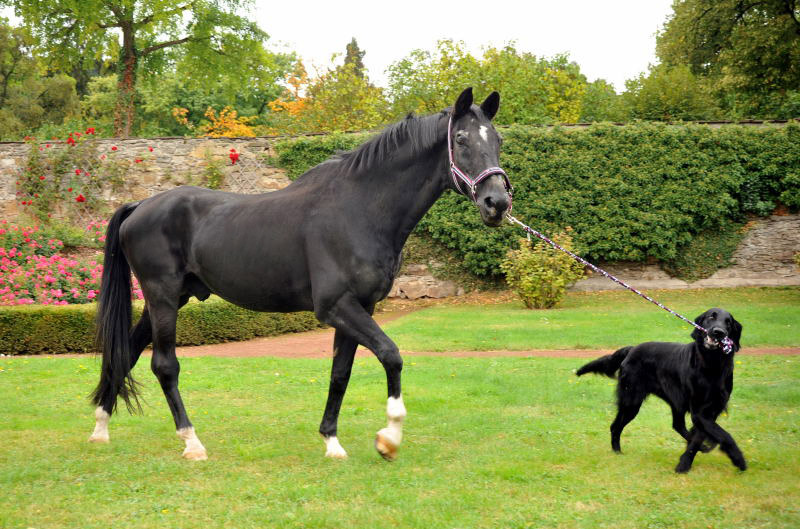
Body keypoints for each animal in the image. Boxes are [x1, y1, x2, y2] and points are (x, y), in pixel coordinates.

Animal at [89, 86, 512, 458]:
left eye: (498, 139)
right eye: (460, 139)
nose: (497, 202)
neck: (358, 209)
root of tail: (140, 206)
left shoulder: (361, 308)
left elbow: (340, 372)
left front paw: (332, 441)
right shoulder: (337, 306)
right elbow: (391, 355)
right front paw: (389, 438)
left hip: (171, 298)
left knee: (126, 353)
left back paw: (100, 429)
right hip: (162, 296)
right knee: (164, 365)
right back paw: (192, 443)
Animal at [580, 308, 748, 472]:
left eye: (728, 323)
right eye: (711, 317)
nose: (719, 332)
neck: (712, 365)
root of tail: (631, 349)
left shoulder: (713, 410)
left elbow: (700, 436)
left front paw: (686, 460)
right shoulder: (699, 412)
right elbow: (725, 436)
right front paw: (738, 459)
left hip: (673, 401)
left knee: (678, 425)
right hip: (632, 401)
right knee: (615, 426)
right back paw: (617, 452)